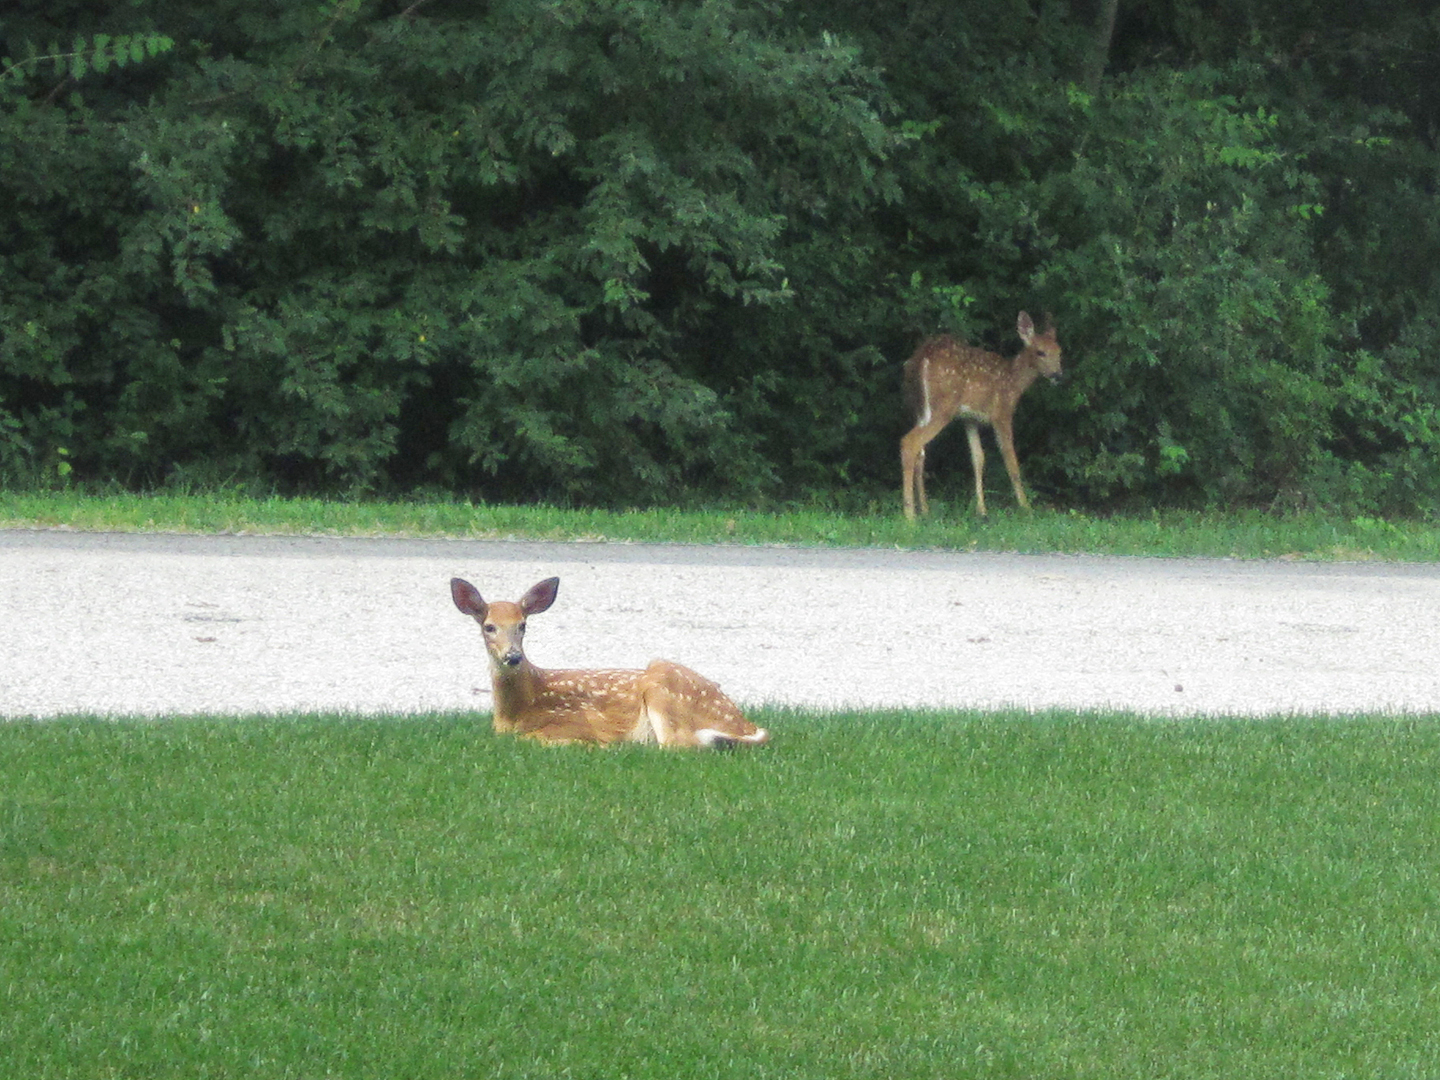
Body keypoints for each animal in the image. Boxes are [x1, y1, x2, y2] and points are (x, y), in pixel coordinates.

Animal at [449, 576, 771, 754]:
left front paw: (596, 744)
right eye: (489, 627)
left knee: (678, 745)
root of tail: (749, 726)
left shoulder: (572, 722)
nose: (513, 656)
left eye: (523, 626)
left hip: (664, 688)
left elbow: (537, 739)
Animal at [892, 311, 1065, 521]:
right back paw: (910, 516)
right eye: (1040, 352)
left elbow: (978, 457)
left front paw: (981, 510)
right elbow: (1010, 460)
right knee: (910, 442)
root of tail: (922, 358)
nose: (1058, 375)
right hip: (943, 407)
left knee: (921, 451)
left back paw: (924, 510)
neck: (1014, 382)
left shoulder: (970, 418)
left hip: (920, 408)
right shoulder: (1002, 413)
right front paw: (1026, 509)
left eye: (1059, 352)